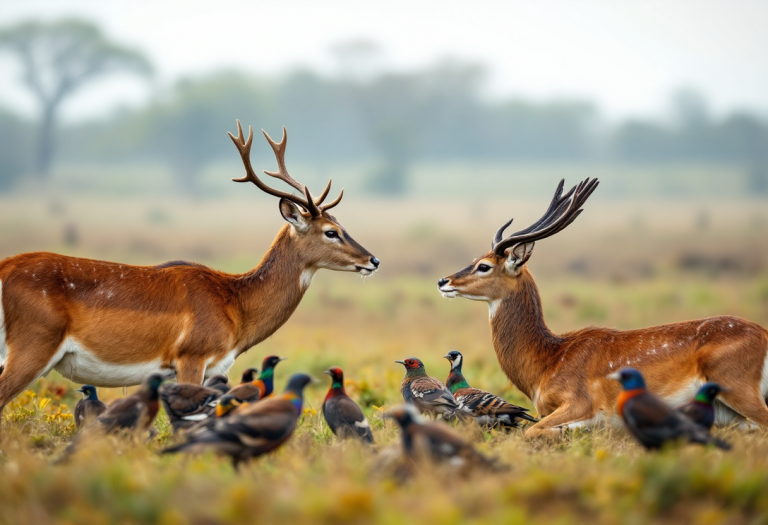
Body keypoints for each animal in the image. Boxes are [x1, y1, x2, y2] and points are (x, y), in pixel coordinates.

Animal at [0, 123, 378, 414]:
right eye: (331, 231)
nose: (372, 260)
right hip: (31, 347)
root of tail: (4, 268)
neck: (235, 302)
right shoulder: (191, 359)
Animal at [438, 178, 768, 436]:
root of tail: (763, 335)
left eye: (484, 266)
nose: (444, 280)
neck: (547, 361)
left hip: (737, 387)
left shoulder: (577, 403)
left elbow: (533, 430)